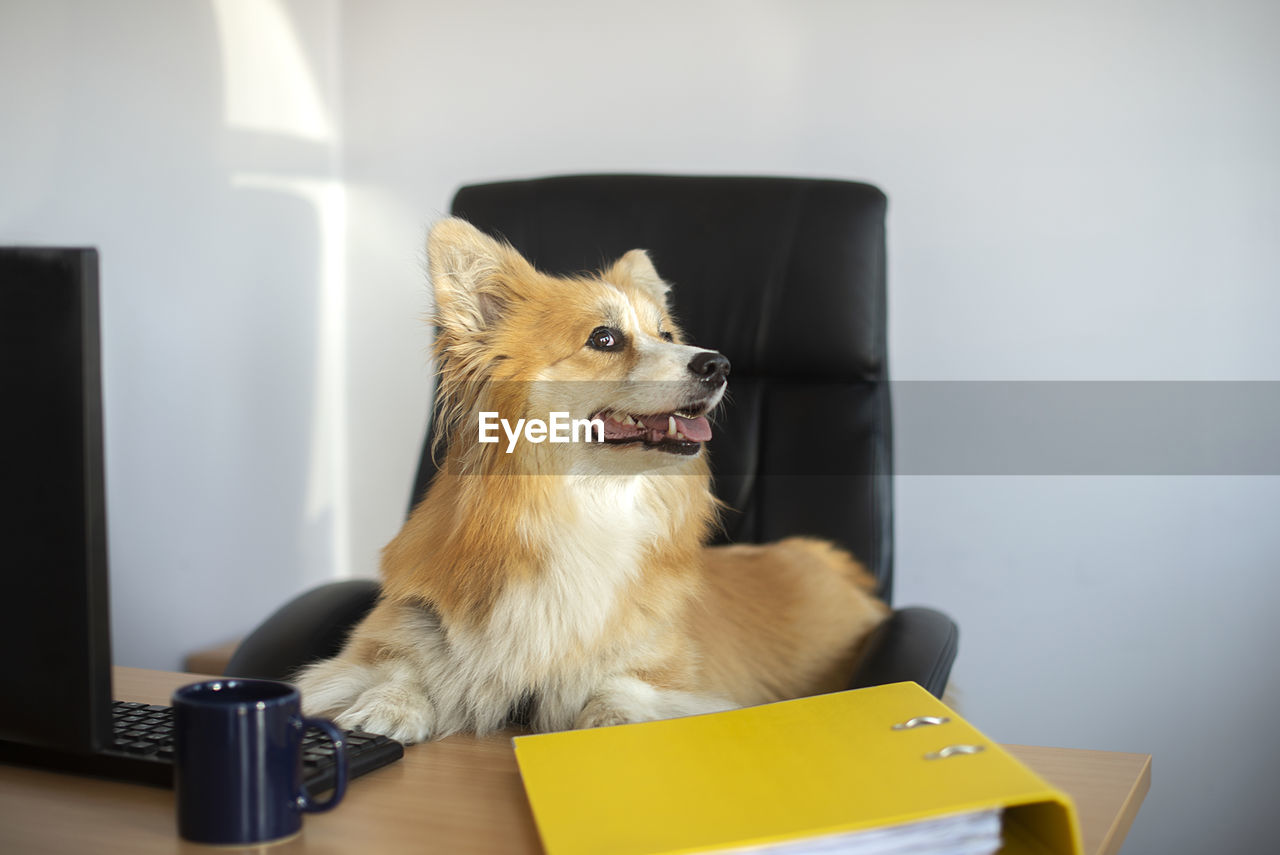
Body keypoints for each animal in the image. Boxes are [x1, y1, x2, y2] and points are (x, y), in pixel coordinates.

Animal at [293, 218, 885, 742]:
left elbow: (620, 686)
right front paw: (385, 707)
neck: (590, 506)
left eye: (667, 334)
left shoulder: (665, 672)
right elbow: (397, 665)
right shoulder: (397, 629)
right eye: (604, 339)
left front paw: (611, 721)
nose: (719, 363)